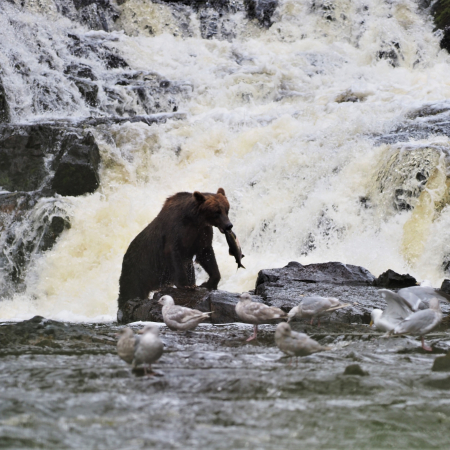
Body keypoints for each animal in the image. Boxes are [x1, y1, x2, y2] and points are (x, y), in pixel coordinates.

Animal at [116, 188, 232, 322]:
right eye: (216, 211)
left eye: (226, 209)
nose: (229, 225)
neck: (194, 220)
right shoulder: (175, 231)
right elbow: (174, 255)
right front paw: (186, 285)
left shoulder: (202, 233)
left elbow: (206, 255)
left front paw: (208, 283)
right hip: (136, 270)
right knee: (130, 291)